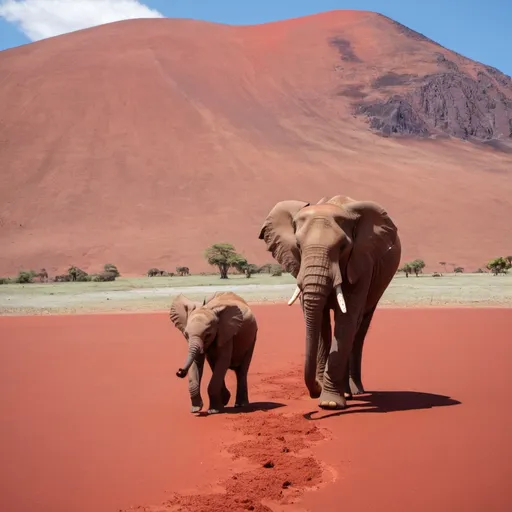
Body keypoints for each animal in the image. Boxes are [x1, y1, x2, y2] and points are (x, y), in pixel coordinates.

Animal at [260, 194, 400, 410]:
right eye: (298, 246)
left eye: (343, 247)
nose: (314, 390)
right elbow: (319, 321)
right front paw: (326, 395)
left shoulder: (361, 262)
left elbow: (347, 320)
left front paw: (330, 403)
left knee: (359, 328)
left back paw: (354, 391)